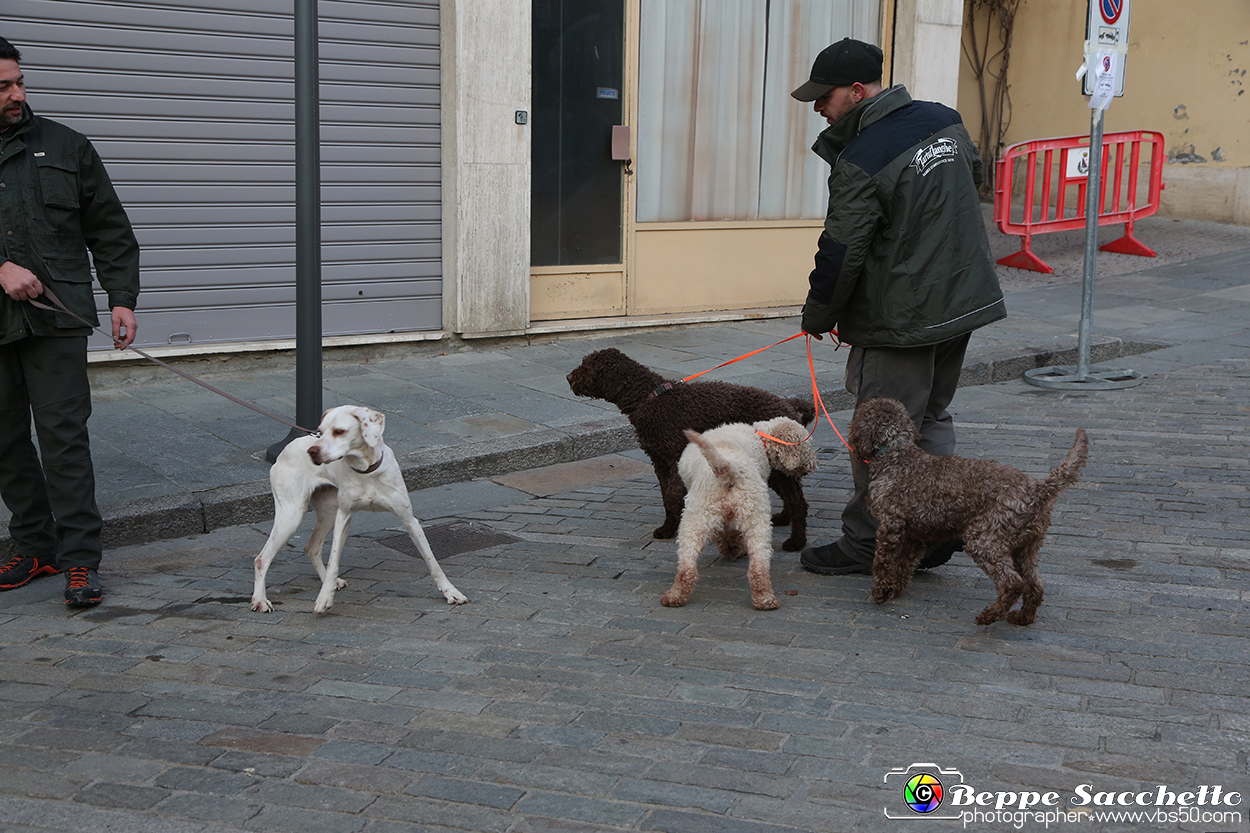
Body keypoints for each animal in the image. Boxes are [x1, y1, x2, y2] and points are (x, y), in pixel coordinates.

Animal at [248, 405, 470, 612]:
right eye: (321, 430)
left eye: (339, 431)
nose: (312, 451)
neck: (366, 471)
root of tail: (285, 450)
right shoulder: (343, 517)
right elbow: (334, 560)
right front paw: (324, 598)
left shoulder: (409, 519)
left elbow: (432, 561)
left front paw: (451, 592)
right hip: (292, 515)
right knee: (262, 559)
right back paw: (260, 600)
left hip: (328, 513)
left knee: (311, 548)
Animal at [570, 347, 820, 547]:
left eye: (587, 367)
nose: (568, 376)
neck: (650, 398)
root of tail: (787, 404)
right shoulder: (659, 461)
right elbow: (666, 497)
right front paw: (668, 528)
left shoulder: (673, 458)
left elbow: (673, 496)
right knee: (791, 496)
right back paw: (783, 519)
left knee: (798, 501)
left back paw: (797, 541)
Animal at [660, 415, 815, 610]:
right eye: (807, 446)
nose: (814, 465)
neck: (759, 437)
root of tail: (728, 469)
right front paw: (732, 548)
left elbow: (726, 533)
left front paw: (731, 548)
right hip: (755, 517)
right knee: (758, 565)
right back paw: (765, 599)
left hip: (695, 517)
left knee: (686, 565)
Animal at [845, 395, 1090, 622]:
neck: (896, 453)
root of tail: (1038, 490)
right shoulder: (915, 534)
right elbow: (903, 564)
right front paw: (896, 589)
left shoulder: (890, 526)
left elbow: (883, 562)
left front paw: (881, 592)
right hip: (1027, 547)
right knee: (1035, 584)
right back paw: (1022, 618)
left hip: (984, 540)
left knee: (1013, 583)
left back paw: (989, 616)